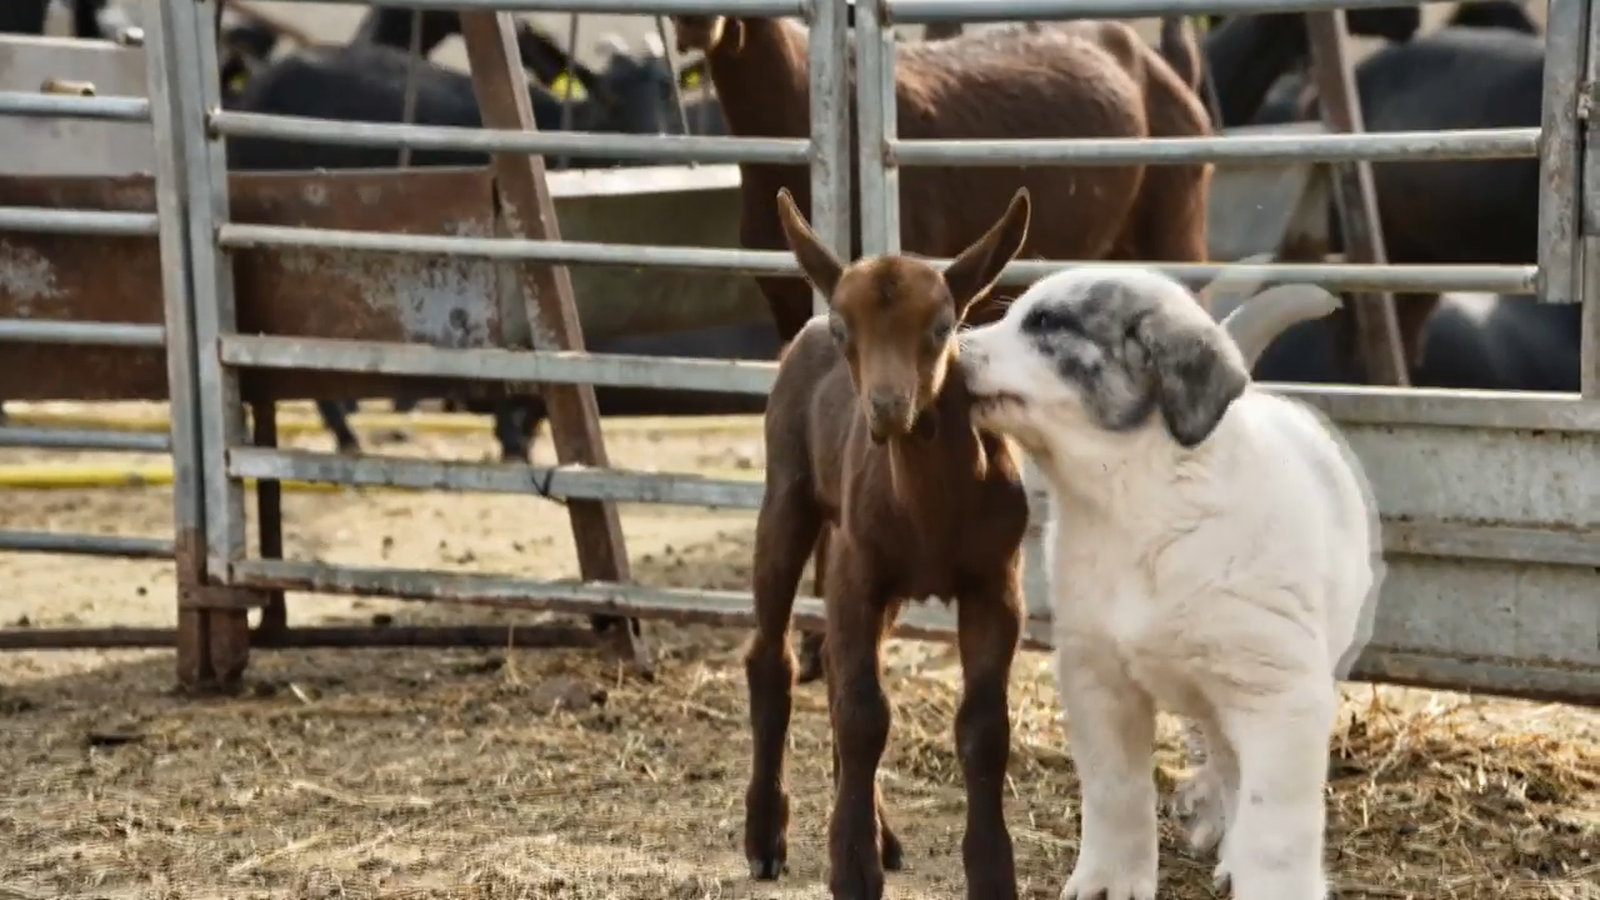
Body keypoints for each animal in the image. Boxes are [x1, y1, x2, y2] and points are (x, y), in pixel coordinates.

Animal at [744, 188, 1032, 898]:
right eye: (847, 332)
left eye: (942, 327)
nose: (886, 407)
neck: (930, 510)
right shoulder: (858, 574)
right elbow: (862, 714)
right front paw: (851, 869)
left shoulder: (995, 583)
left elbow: (984, 728)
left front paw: (992, 872)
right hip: (787, 491)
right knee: (773, 655)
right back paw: (765, 838)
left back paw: (884, 835)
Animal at [959, 266, 1378, 900]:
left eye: (1047, 323)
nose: (947, 346)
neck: (1140, 502)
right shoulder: (1097, 681)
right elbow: (1117, 792)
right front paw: (1109, 879)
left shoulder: (1281, 698)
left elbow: (1275, 827)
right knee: (1226, 766)